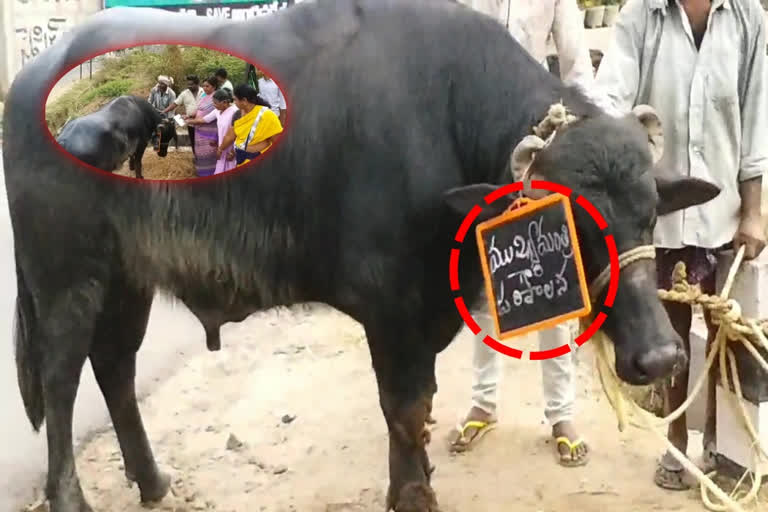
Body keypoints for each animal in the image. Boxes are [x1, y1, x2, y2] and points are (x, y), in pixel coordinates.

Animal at [1, 1, 720, 512]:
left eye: (647, 212)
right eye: (570, 223)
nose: (660, 357)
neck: (446, 119)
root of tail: (33, 86)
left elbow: (420, 411)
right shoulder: (393, 310)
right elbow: (403, 409)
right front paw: (414, 495)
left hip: (129, 280)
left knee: (115, 368)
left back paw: (152, 481)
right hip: (64, 282)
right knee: (62, 384)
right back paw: (72, 499)